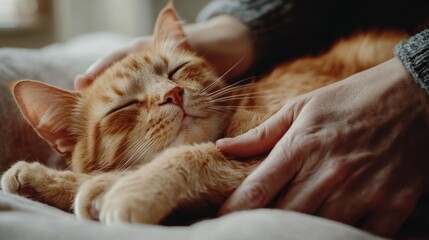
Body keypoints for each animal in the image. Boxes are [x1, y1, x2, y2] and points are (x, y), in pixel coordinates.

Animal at [0, 3, 402, 225]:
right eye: (124, 106)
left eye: (176, 71)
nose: (173, 94)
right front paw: (46, 180)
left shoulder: (278, 148)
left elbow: (195, 155)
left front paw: (127, 188)